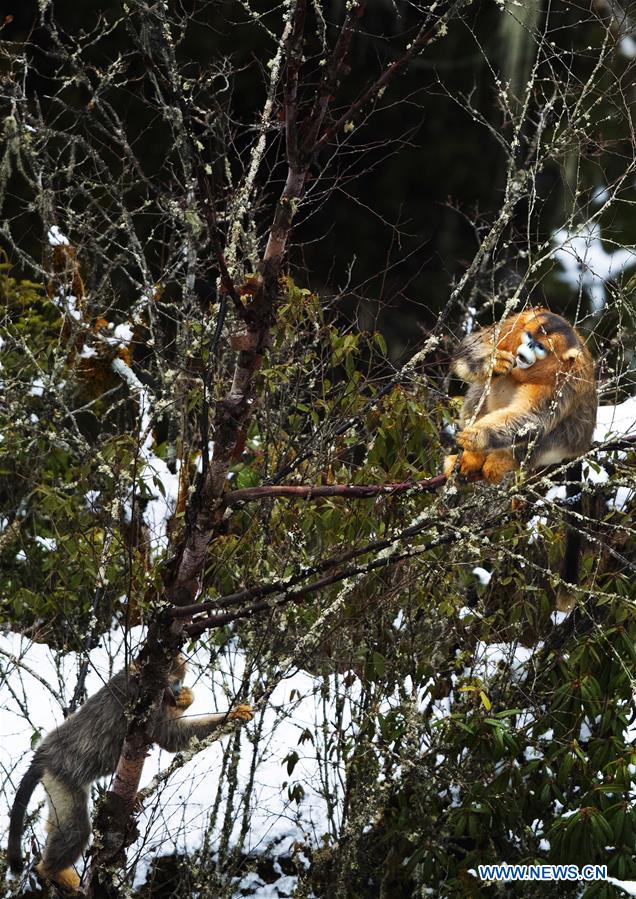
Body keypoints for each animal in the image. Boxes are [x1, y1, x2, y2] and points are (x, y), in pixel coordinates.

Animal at [7, 654, 253, 892]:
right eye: (174, 681)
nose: (176, 691)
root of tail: (44, 753)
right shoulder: (143, 700)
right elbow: (169, 736)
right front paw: (232, 714)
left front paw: (190, 699)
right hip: (62, 776)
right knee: (76, 830)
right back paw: (49, 871)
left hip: (54, 783)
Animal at [443, 308, 597, 603]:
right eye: (528, 337)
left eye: (541, 347)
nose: (525, 353)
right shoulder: (513, 325)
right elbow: (468, 348)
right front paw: (492, 361)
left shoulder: (566, 380)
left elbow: (532, 419)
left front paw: (479, 437)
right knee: (488, 385)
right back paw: (470, 459)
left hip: (569, 443)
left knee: (549, 431)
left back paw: (505, 461)